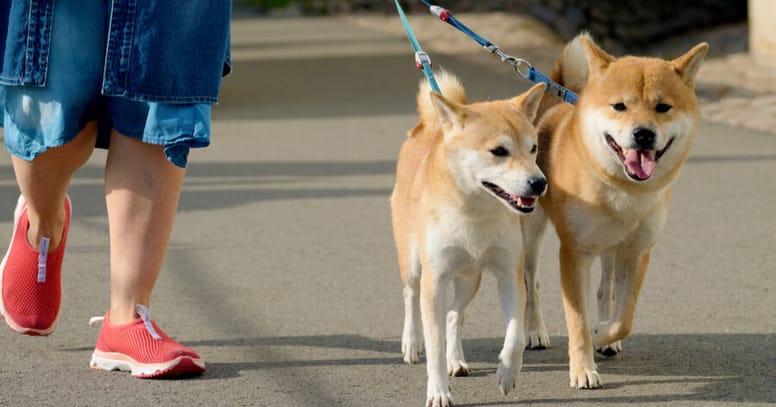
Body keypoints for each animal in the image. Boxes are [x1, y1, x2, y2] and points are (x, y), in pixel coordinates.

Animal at [392, 71, 548, 406]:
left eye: (533, 148)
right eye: (499, 151)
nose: (540, 183)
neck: (475, 213)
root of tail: (428, 127)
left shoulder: (509, 276)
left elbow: (515, 336)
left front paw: (507, 373)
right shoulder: (434, 281)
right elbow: (434, 347)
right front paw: (438, 391)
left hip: (470, 278)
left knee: (454, 315)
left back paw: (457, 360)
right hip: (412, 262)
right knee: (410, 296)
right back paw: (411, 343)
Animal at [520, 33, 708, 390]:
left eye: (663, 107)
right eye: (619, 106)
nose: (643, 134)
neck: (624, 190)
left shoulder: (636, 252)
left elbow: (624, 316)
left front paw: (603, 333)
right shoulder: (574, 253)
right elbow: (578, 320)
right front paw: (583, 369)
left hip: (611, 247)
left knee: (605, 288)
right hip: (531, 231)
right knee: (530, 280)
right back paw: (535, 332)